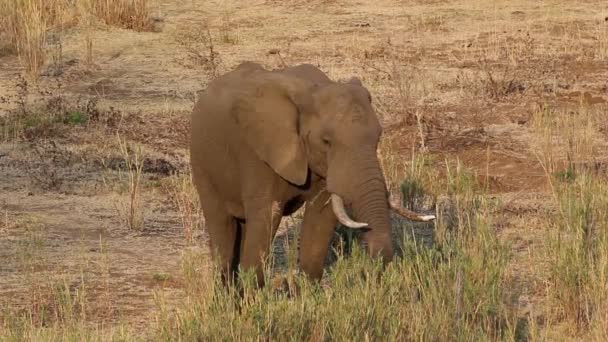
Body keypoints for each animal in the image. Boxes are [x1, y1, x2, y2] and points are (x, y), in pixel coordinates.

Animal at [190, 61, 432, 286]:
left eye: (378, 137)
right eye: (326, 141)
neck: (309, 92)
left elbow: (321, 215)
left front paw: (306, 293)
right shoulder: (257, 155)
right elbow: (267, 214)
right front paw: (252, 297)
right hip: (201, 163)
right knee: (222, 227)